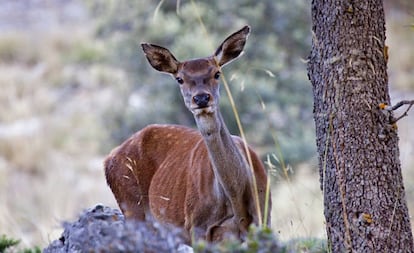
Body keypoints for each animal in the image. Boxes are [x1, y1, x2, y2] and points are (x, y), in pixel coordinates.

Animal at [105, 25, 270, 243]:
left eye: (217, 73)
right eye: (180, 79)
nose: (201, 98)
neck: (237, 201)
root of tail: (108, 158)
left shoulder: (265, 218)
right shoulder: (196, 224)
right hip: (131, 207)